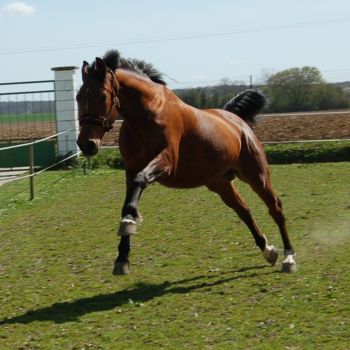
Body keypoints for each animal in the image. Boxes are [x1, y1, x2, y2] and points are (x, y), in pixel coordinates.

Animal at [76, 50, 296, 278]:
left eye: (102, 96)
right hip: (220, 183)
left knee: (275, 208)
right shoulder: (131, 169)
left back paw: (289, 258)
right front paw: (122, 258)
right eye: (78, 97)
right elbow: (129, 200)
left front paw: (129, 222)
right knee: (244, 210)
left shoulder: (165, 164)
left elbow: (139, 183)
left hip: (257, 176)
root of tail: (237, 121)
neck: (147, 114)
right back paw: (268, 251)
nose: (86, 144)